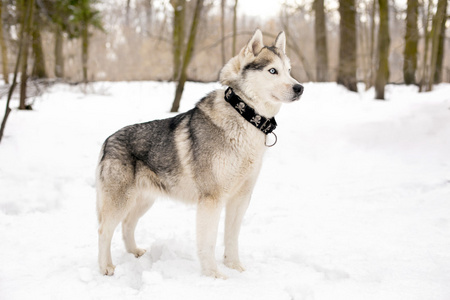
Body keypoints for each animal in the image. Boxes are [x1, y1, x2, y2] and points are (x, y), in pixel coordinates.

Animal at [96, 29, 304, 278]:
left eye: (289, 71)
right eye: (273, 70)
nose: (300, 88)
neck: (244, 117)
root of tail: (108, 140)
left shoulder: (240, 198)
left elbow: (231, 238)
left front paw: (235, 267)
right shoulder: (211, 199)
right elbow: (209, 242)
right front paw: (213, 274)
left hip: (144, 201)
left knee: (127, 224)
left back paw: (134, 252)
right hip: (120, 202)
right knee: (104, 231)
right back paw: (105, 267)